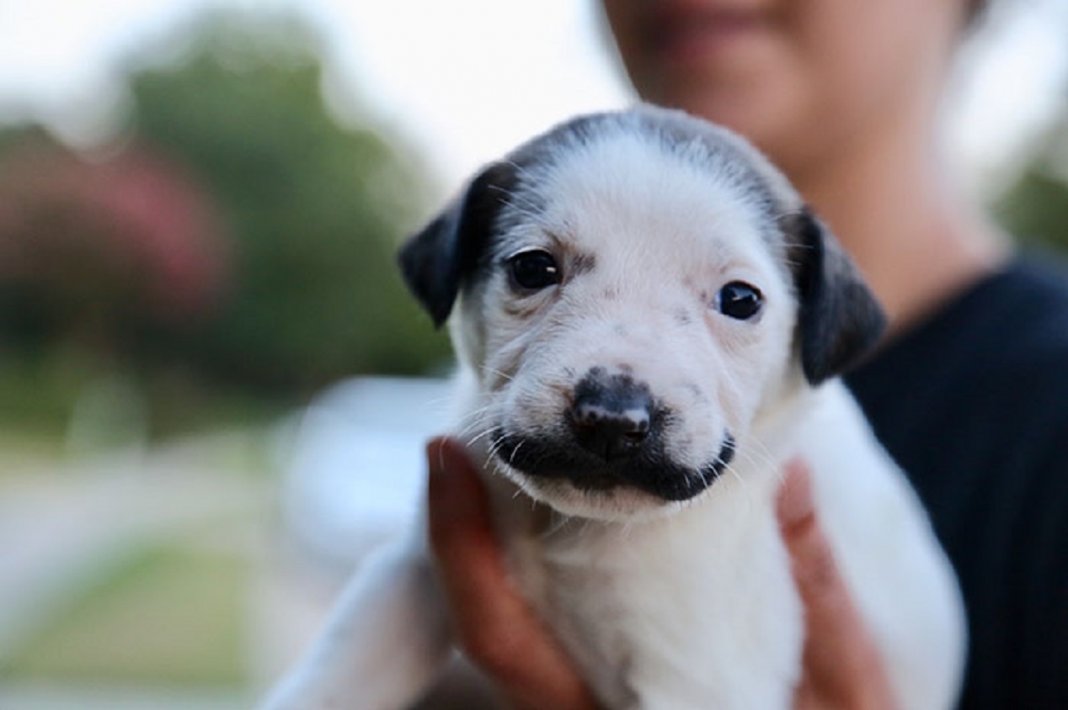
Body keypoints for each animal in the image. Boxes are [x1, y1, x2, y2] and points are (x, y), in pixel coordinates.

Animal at [267, 104, 969, 708]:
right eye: (533, 268)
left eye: (741, 300)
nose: (611, 419)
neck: (579, 529)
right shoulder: (411, 575)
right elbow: (341, 669)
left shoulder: (698, 677)